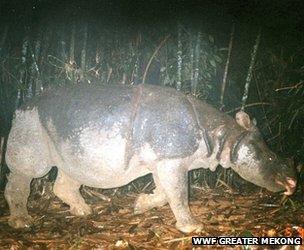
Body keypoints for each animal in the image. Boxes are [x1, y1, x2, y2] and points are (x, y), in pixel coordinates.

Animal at [3, 84, 296, 232]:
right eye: (270, 158)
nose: (293, 183)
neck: (224, 136)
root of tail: (20, 106)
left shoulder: (163, 160)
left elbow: (166, 192)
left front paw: (139, 206)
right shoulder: (172, 158)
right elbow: (179, 193)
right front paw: (194, 228)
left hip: (66, 133)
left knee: (71, 171)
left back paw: (84, 211)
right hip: (30, 123)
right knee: (28, 171)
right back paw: (22, 222)